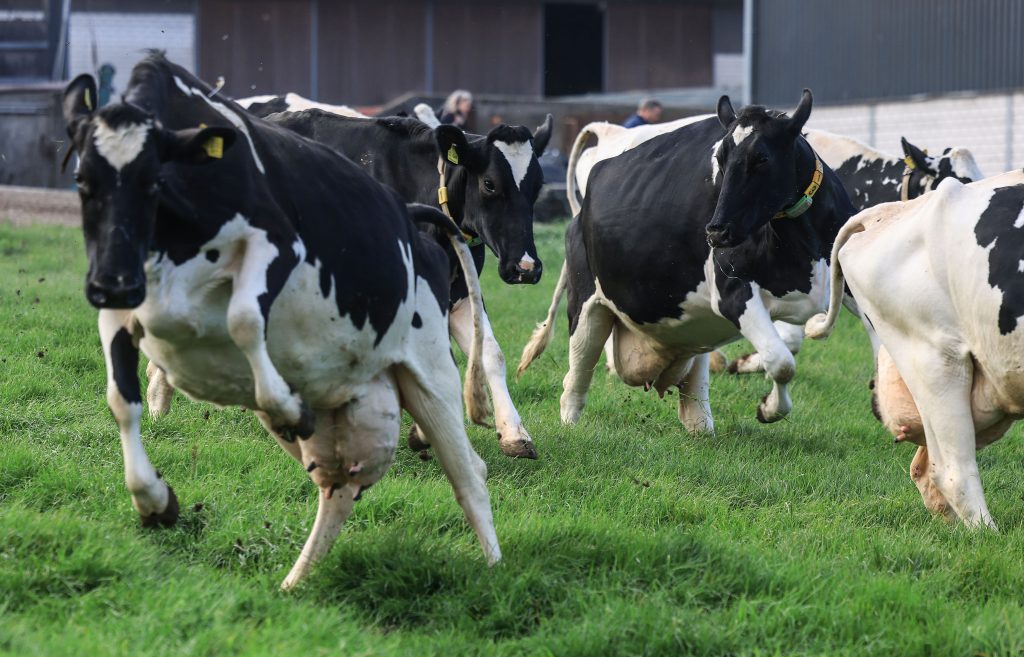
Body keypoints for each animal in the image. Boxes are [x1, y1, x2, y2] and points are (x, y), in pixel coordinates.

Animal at [61, 51, 499, 589]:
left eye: (153, 181)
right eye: (83, 180)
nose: (112, 281)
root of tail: (414, 220)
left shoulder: (276, 244)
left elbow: (245, 319)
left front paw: (284, 404)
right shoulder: (121, 303)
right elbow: (121, 402)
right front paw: (155, 501)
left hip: (431, 373)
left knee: (469, 475)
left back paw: (497, 570)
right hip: (344, 409)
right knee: (338, 490)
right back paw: (294, 582)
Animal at [518, 91, 856, 432]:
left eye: (762, 158)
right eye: (720, 160)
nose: (717, 231)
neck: (803, 242)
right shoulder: (733, 292)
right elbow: (782, 362)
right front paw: (769, 409)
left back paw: (699, 422)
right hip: (586, 302)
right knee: (576, 374)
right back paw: (569, 423)